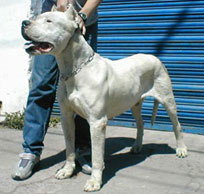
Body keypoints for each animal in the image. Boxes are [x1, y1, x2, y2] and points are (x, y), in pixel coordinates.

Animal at [21, 4, 186, 191]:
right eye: (37, 17)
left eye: (49, 21)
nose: (24, 23)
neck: (75, 69)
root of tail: (155, 57)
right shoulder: (66, 117)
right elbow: (70, 147)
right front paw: (67, 170)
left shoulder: (97, 122)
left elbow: (97, 156)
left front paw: (95, 181)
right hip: (134, 103)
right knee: (140, 123)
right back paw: (137, 146)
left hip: (168, 99)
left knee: (177, 125)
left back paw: (181, 149)